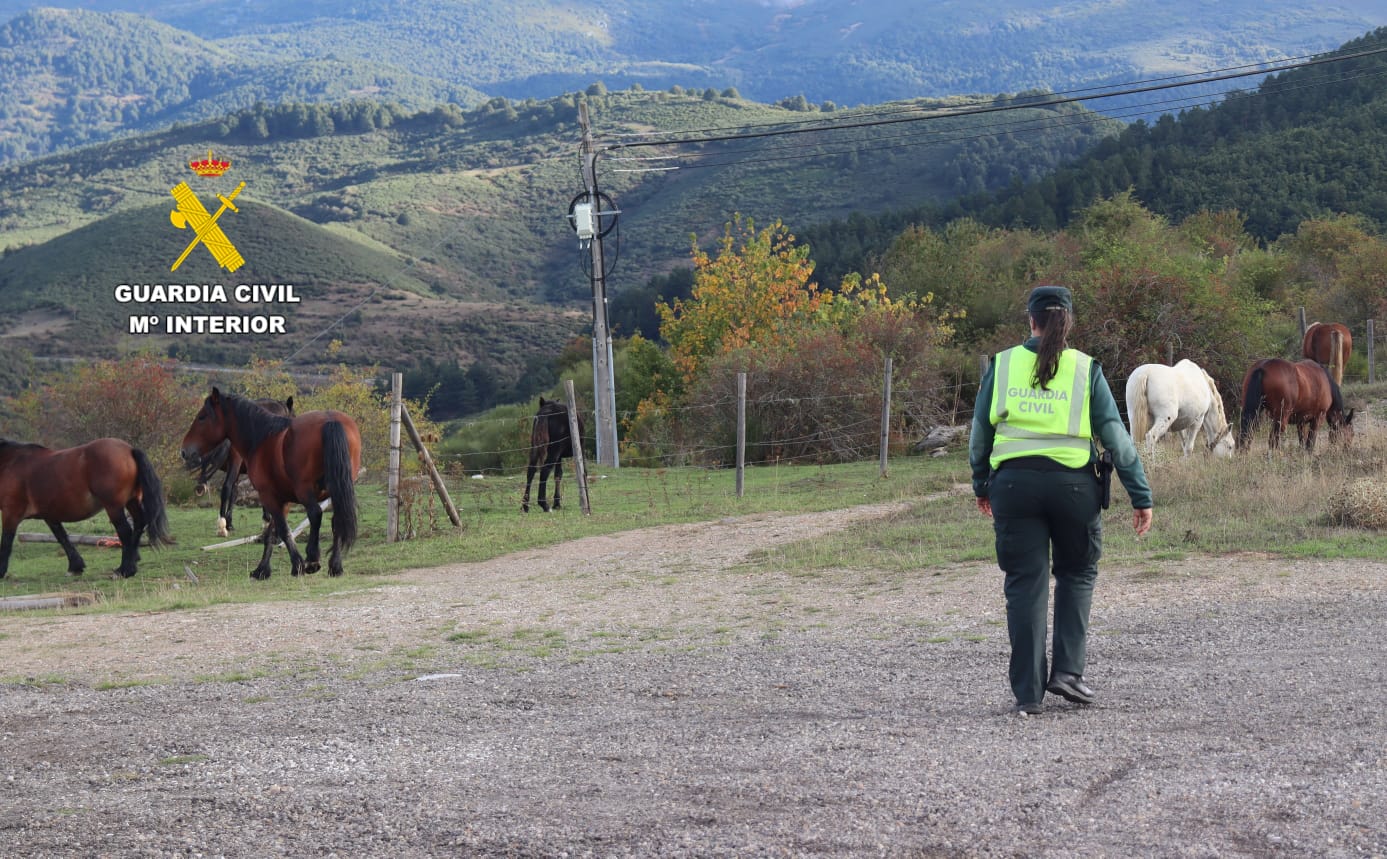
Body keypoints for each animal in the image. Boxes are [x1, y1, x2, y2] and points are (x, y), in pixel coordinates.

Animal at [0, 435, 173, 577]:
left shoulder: (11, 513)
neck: (10, 462)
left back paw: (125, 570)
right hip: (132, 502)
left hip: (114, 507)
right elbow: (62, 537)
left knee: (125, 531)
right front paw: (76, 566)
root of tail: (129, 449)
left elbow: (6, 542)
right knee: (139, 524)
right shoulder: (49, 514)